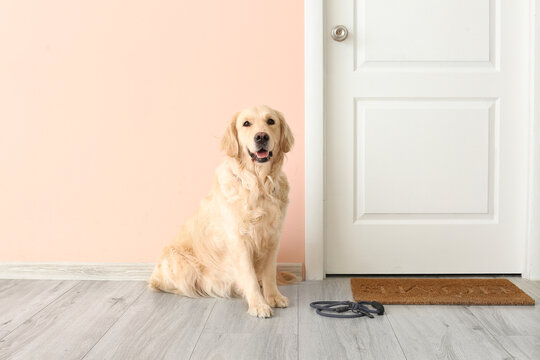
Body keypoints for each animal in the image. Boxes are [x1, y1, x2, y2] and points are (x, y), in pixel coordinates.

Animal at [150, 105, 296, 318]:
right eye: (246, 123)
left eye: (271, 121)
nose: (261, 136)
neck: (259, 185)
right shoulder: (239, 241)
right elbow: (249, 276)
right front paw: (258, 305)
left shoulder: (272, 238)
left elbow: (269, 274)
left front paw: (274, 297)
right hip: (179, 263)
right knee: (165, 285)